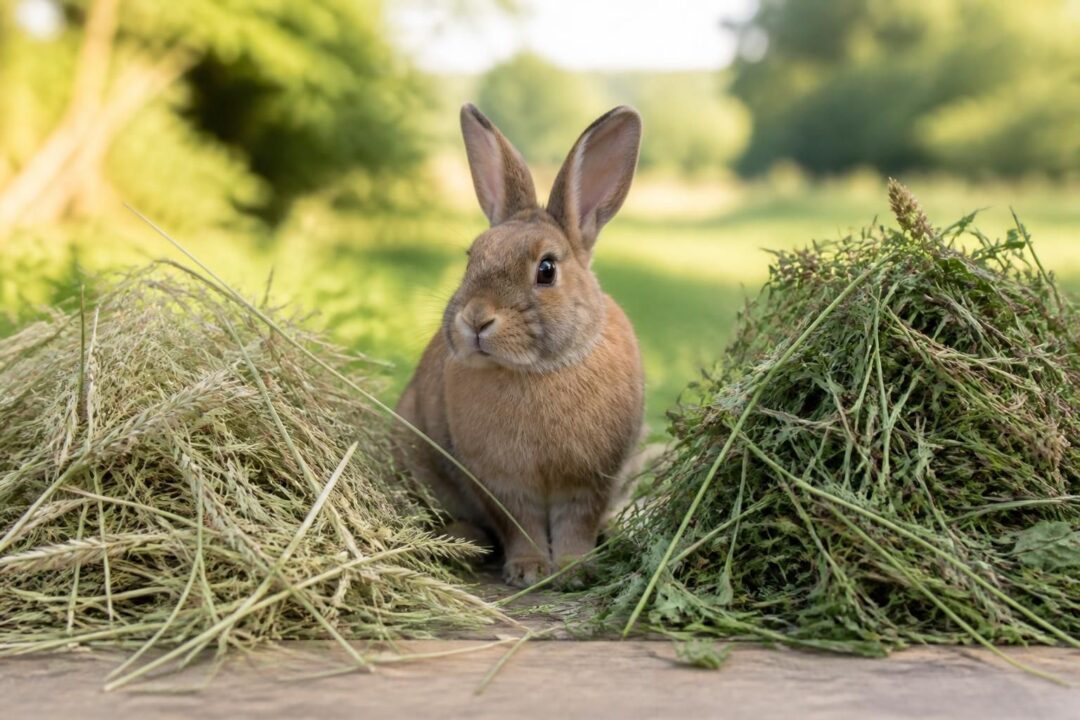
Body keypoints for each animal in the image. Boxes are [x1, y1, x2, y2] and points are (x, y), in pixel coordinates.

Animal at [395, 103, 645, 588]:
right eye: (471, 259)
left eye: (546, 269)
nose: (476, 318)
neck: (536, 371)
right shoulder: (502, 485)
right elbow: (519, 524)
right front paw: (529, 570)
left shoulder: (589, 482)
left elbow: (576, 524)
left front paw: (574, 571)